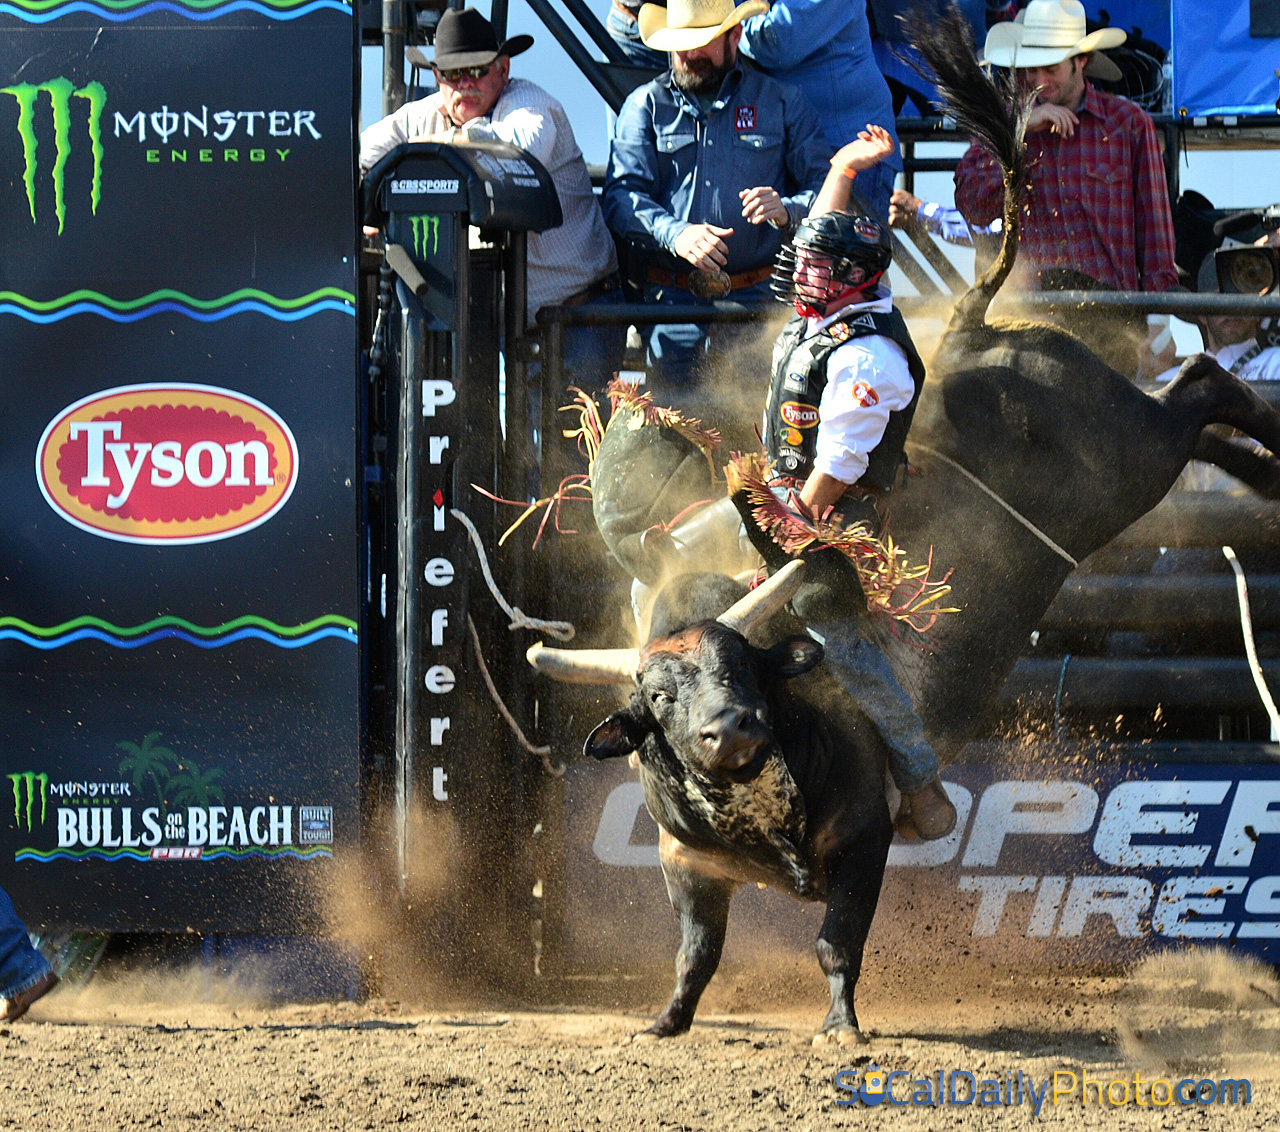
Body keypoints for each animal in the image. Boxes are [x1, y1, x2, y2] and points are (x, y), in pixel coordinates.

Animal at [524, 6, 1280, 1044]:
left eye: (743, 667)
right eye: (662, 697)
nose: (729, 731)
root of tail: (973, 331)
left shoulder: (867, 839)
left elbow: (836, 939)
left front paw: (842, 1025)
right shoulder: (689, 869)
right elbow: (696, 952)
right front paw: (665, 1022)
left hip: (1128, 457)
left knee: (1206, 383)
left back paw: (1270, 449)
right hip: (1133, 454)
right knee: (1206, 400)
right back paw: (1261, 469)